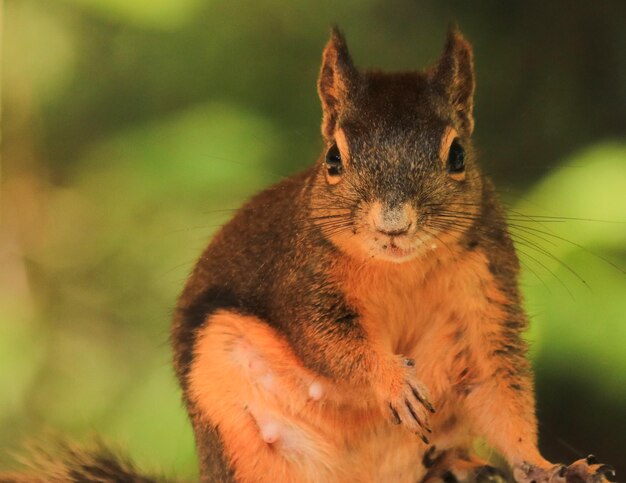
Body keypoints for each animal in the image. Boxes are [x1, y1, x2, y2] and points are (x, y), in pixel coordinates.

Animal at [0, 25, 616, 483]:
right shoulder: (301, 281)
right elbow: (329, 344)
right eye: (333, 159)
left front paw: (542, 464)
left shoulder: (485, 294)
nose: (393, 225)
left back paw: (461, 465)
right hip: (231, 400)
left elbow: (500, 390)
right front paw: (393, 382)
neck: (402, 269)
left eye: (458, 155)